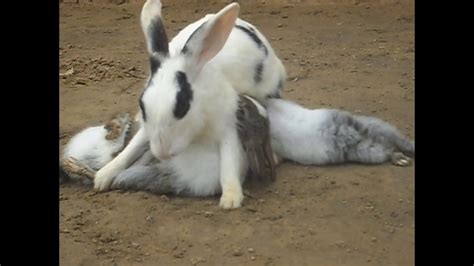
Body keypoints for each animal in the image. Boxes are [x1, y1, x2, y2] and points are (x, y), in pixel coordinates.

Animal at [94, 0, 284, 209]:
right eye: (142, 106)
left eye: (182, 106)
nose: (162, 153)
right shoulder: (147, 130)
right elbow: (131, 149)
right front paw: (103, 176)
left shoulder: (229, 125)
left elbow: (229, 161)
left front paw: (231, 198)